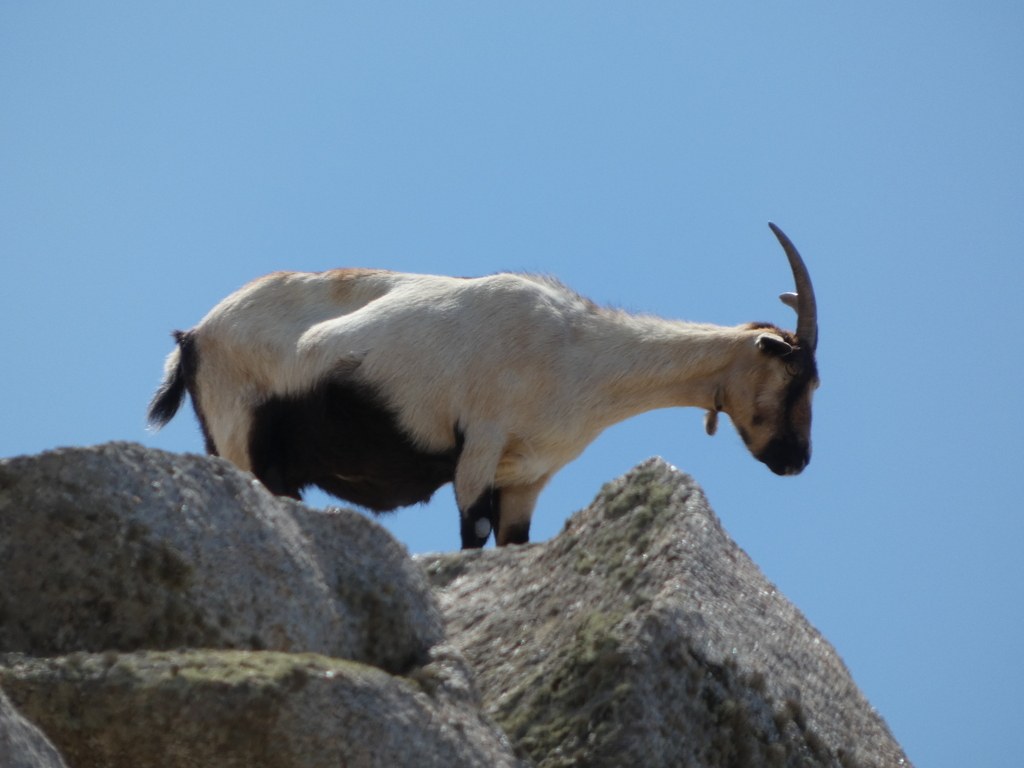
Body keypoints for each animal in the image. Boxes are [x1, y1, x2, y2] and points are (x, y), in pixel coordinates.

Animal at [148, 223, 819, 549]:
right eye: (796, 377)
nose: (796, 461)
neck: (578, 349)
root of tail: (193, 337)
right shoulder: (479, 446)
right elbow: (471, 536)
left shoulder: (526, 478)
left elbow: (512, 544)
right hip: (242, 440)